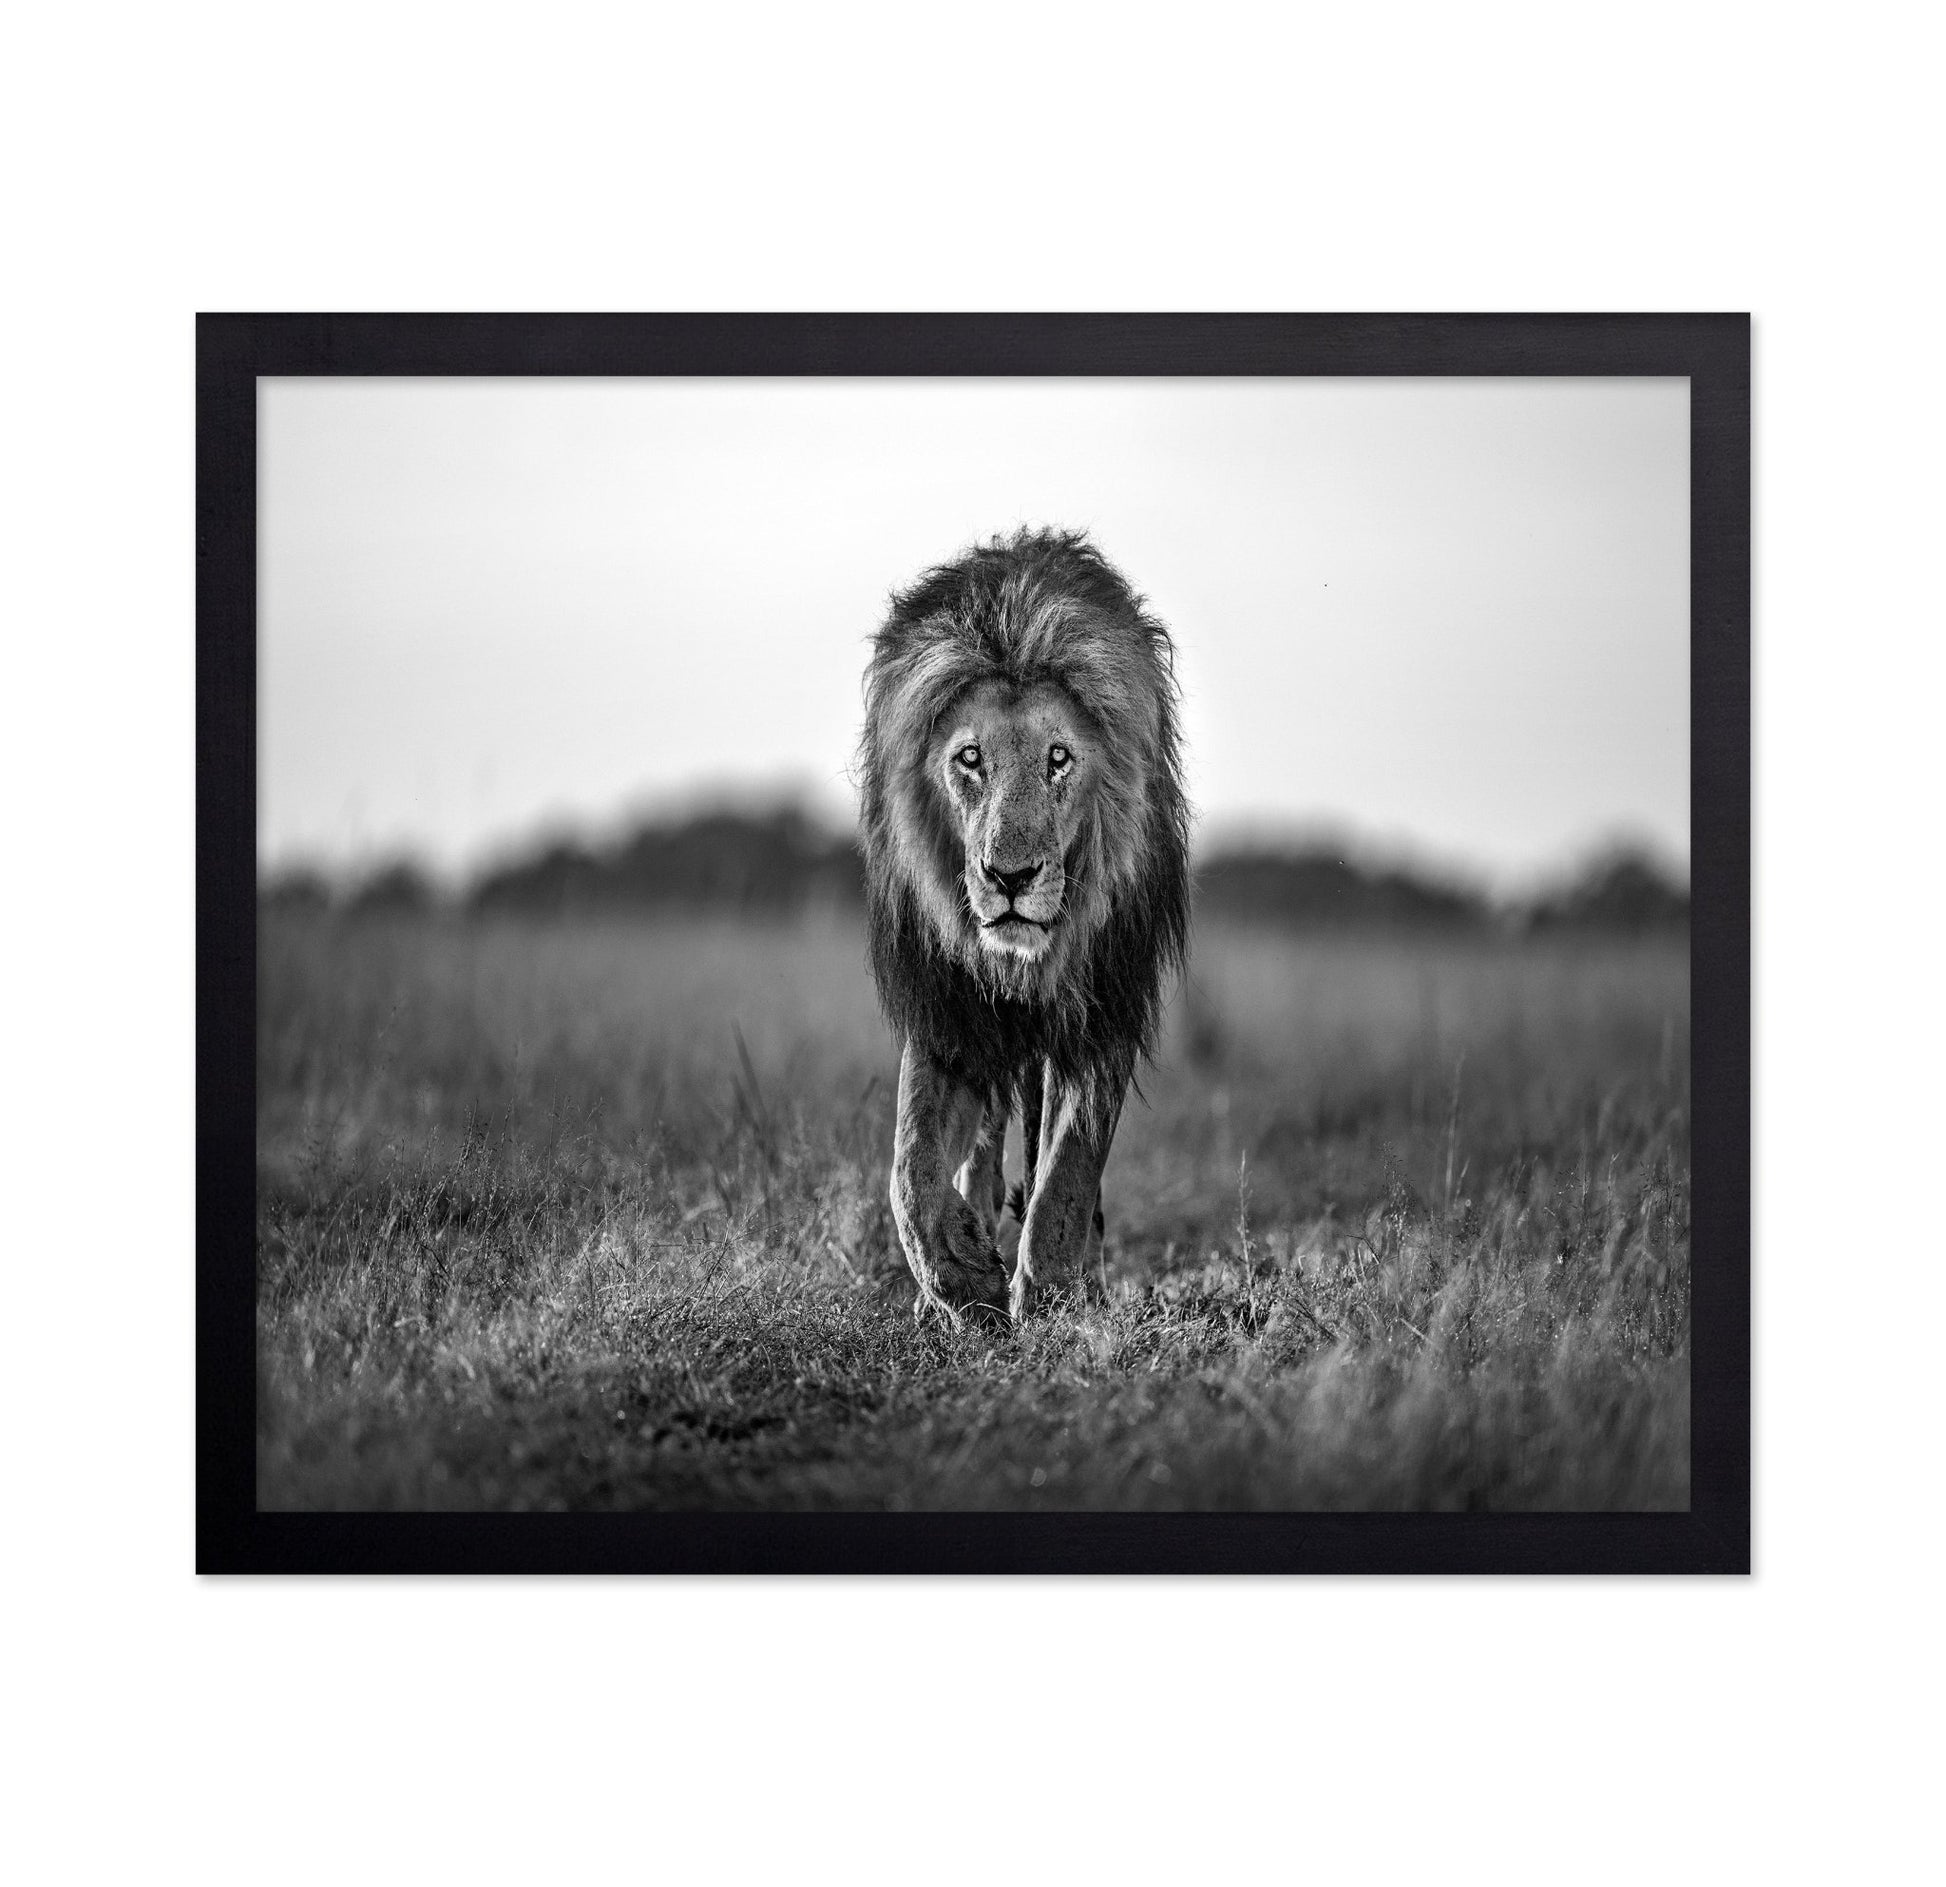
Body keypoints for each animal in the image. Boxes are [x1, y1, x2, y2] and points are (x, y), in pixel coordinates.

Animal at [857, 528, 1191, 1325]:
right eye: (970, 758)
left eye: (1058, 759)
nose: (1010, 878)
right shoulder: (948, 1009)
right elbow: (910, 1165)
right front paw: (957, 1275)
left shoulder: (1103, 1005)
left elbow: (1069, 1166)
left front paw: (1050, 1290)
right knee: (979, 1147)